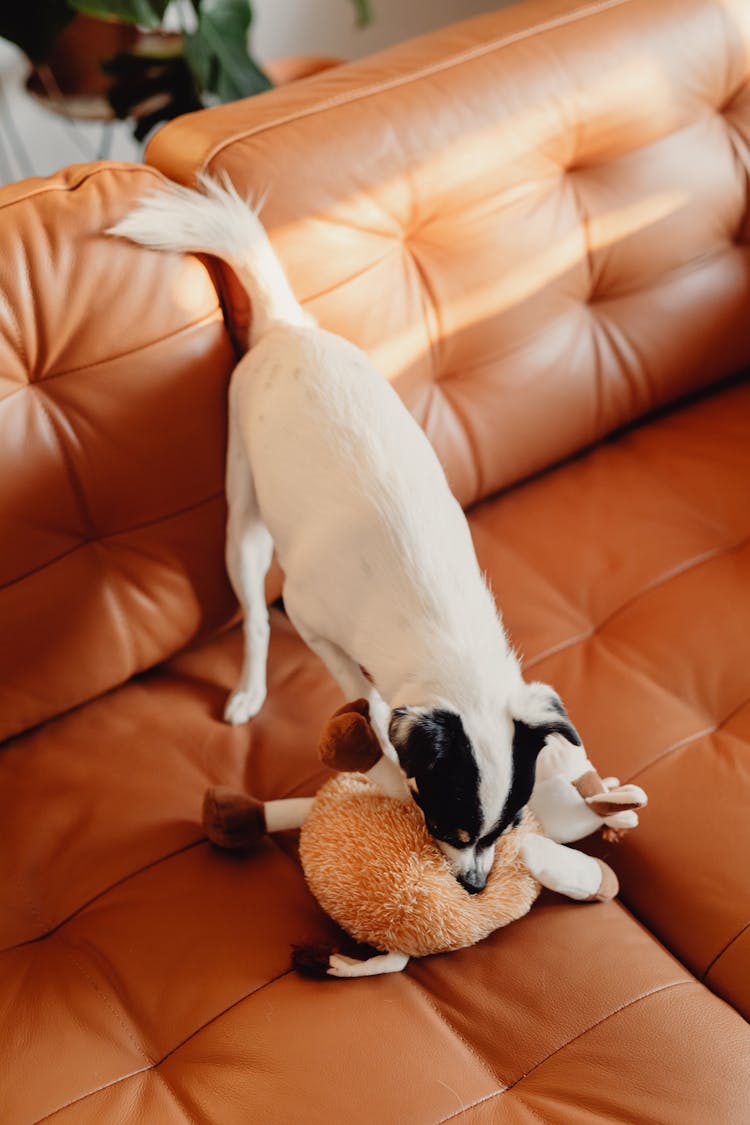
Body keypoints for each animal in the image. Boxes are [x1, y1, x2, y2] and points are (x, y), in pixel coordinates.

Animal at [111, 175, 580, 891]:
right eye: (448, 827)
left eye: (509, 828)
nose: (474, 885)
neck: (442, 629)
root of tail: (284, 325)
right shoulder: (310, 619)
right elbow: (359, 690)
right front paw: (381, 747)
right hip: (244, 523)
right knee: (254, 617)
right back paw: (249, 689)